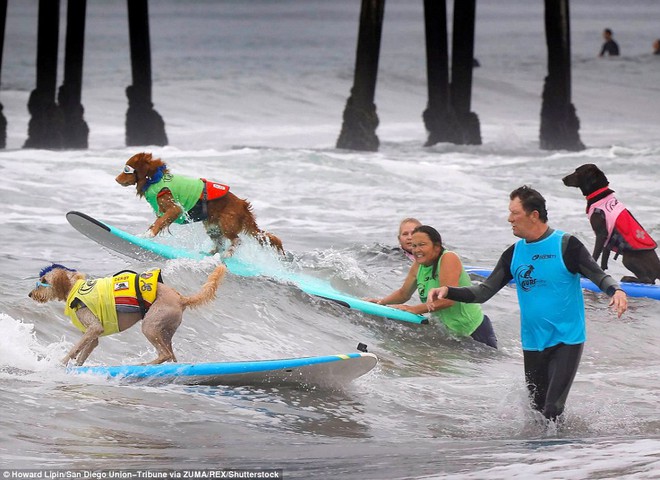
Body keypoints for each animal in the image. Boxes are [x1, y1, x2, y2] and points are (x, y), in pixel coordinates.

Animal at [28, 262, 227, 364]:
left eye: (43, 280)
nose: (30, 294)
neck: (75, 288)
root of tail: (181, 298)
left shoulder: (94, 328)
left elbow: (74, 349)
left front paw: (60, 363)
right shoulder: (93, 337)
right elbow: (83, 354)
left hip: (149, 326)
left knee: (165, 354)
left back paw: (143, 366)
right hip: (165, 331)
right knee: (171, 356)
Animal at [114, 152, 284, 256]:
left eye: (126, 169)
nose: (115, 179)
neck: (155, 179)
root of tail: (243, 205)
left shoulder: (175, 209)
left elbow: (160, 222)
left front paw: (148, 235)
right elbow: (157, 222)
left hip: (226, 223)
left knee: (237, 240)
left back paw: (228, 253)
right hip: (212, 227)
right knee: (221, 244)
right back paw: (211, 253)